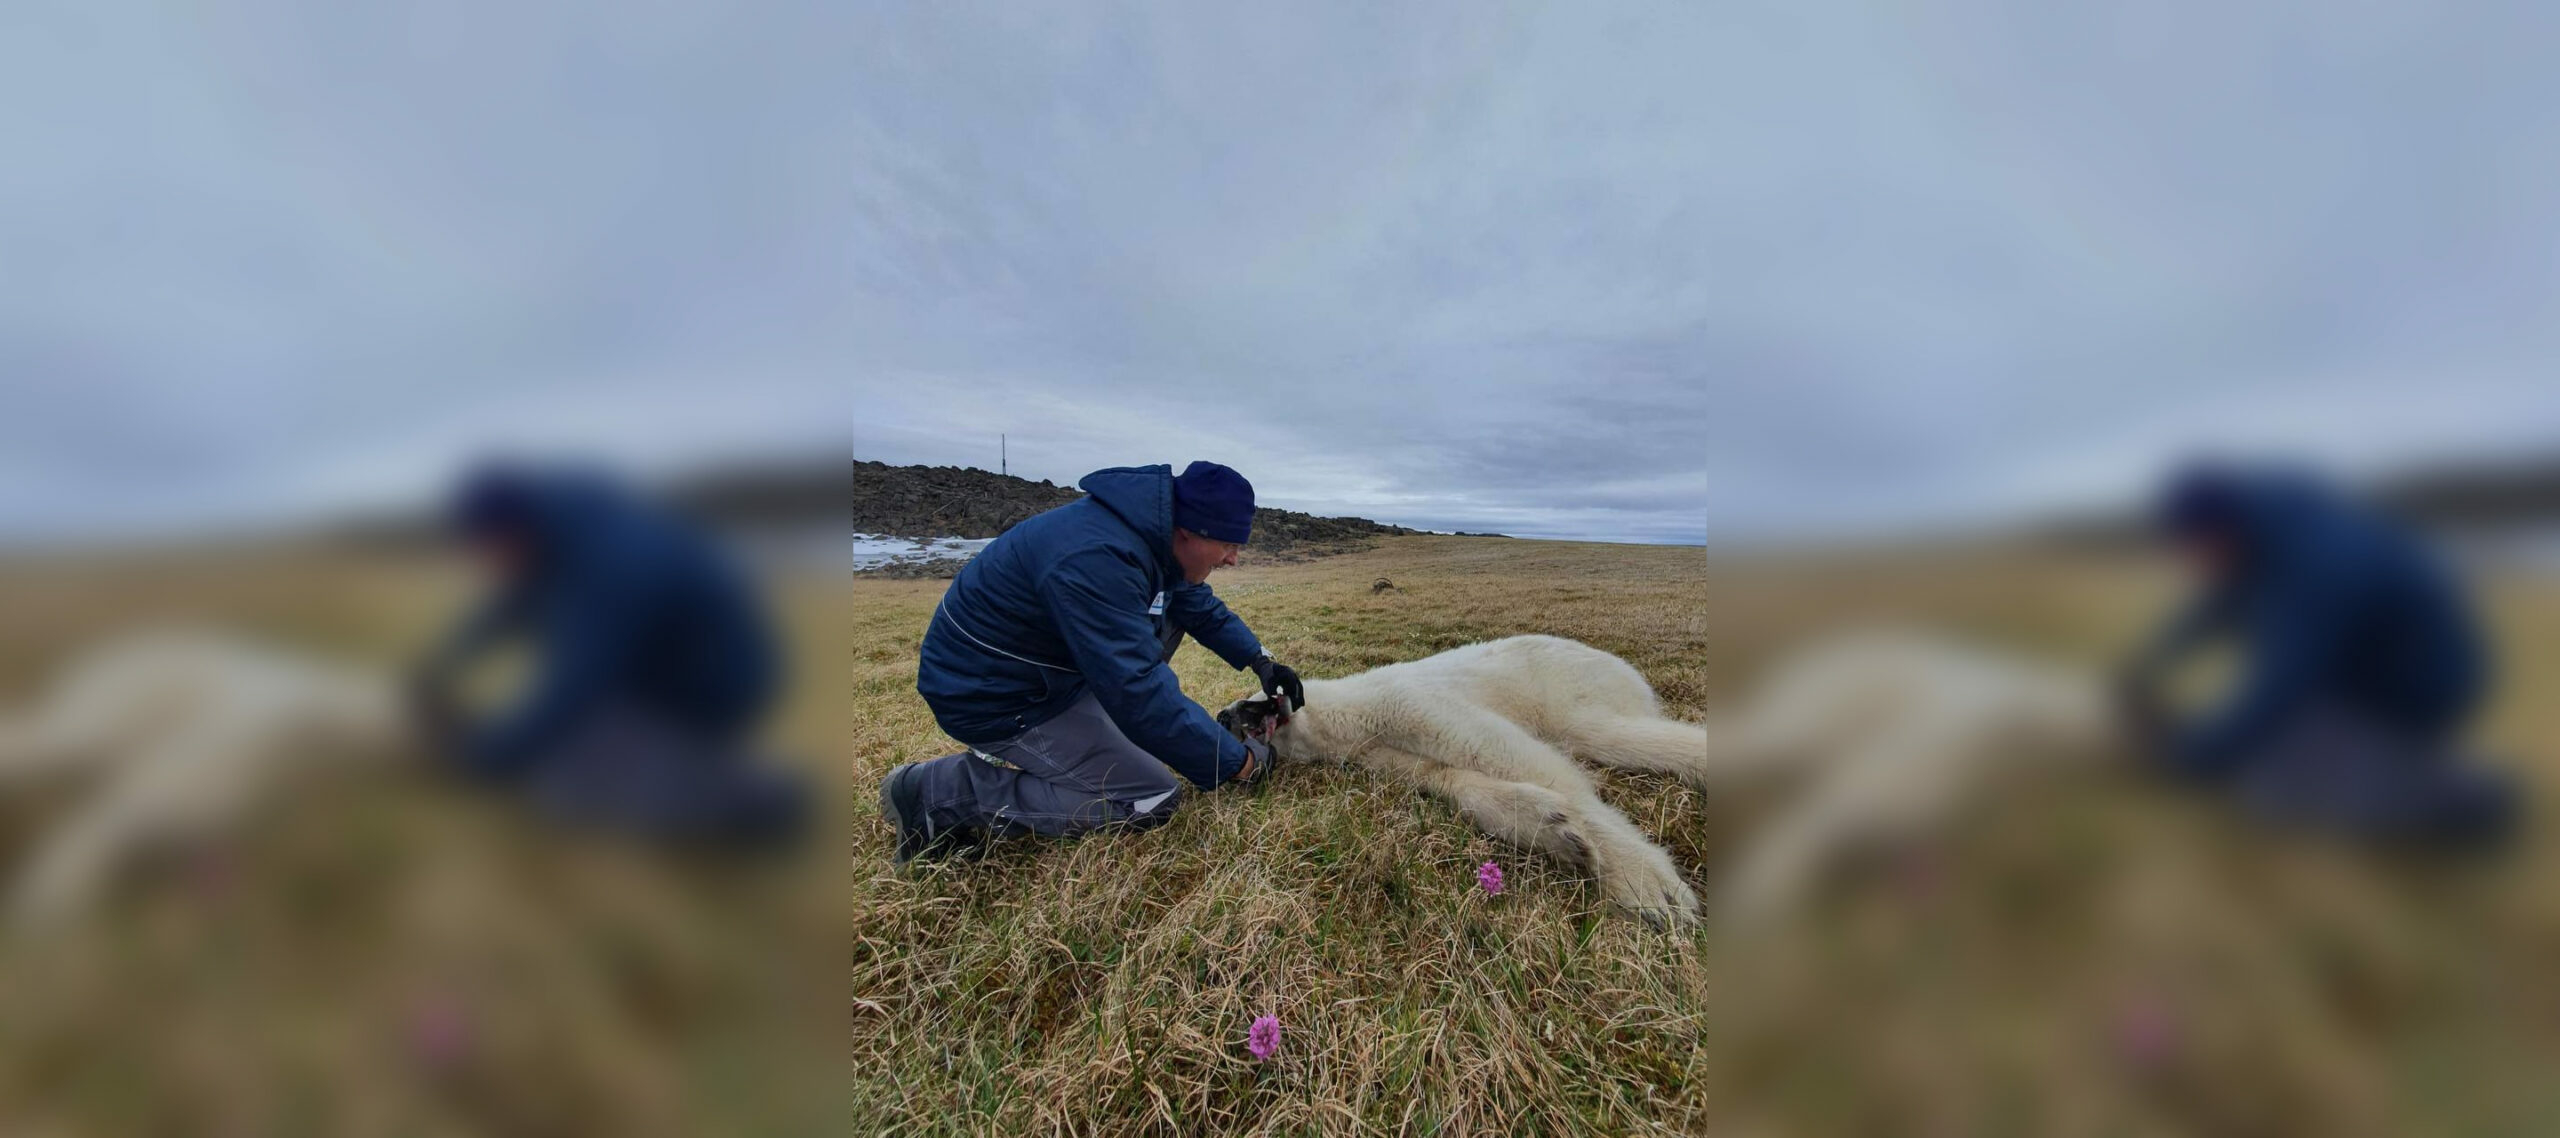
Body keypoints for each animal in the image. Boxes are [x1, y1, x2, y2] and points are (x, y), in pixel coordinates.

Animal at [1223, 634, 1710, 925]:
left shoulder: (1404, 702)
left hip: (1569, 685)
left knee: (1604, 731)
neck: (1349, 716)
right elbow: (1448, 779)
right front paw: (1555, 830)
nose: (1224, 715)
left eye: (1250, 699)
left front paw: (1647, 884)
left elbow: (1504, 752)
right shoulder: (1380, 752)